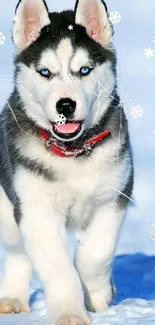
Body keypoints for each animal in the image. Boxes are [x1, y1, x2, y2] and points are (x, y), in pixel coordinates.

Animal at [0, 0, 134, 322]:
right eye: (45, 72)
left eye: (84, 70)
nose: (65, 105)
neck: (72, 153)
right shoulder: (36, 210)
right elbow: (58, 267)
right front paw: (69, 314)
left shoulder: (114, 196)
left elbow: (95, 254)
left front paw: (98, 294)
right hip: (7, 207)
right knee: (18, 251)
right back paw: (12, 297)